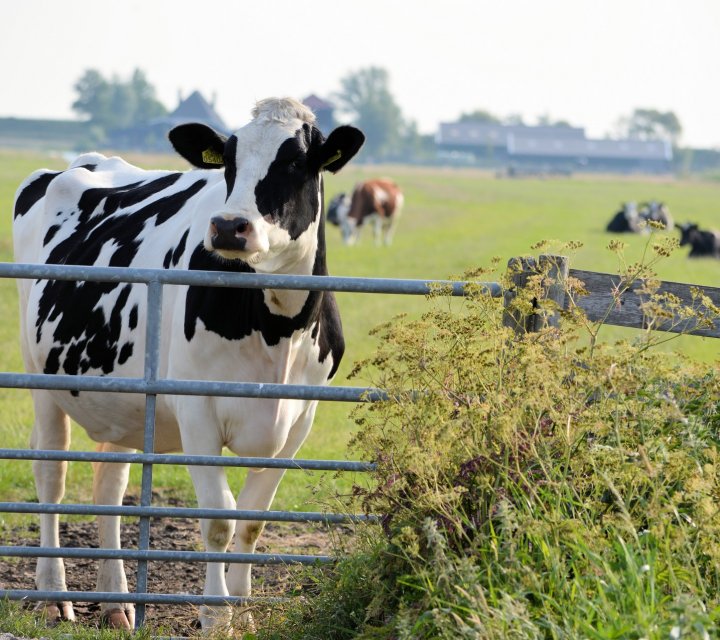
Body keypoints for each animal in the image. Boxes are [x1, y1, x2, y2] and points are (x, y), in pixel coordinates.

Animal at [13, 96, 366, 632]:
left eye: (295, 161)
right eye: (229, 161)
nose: (228, 226)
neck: (277, 327)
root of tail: (85, 162)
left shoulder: (301, 419)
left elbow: (253, 520)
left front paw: (244, 614)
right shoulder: (197, 411)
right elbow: (219, 517)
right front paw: (217, 617)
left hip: (124, 398)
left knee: (109, 486)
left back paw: (117, 604)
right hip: (40, 378)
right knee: (51, 475)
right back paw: (54, 596)